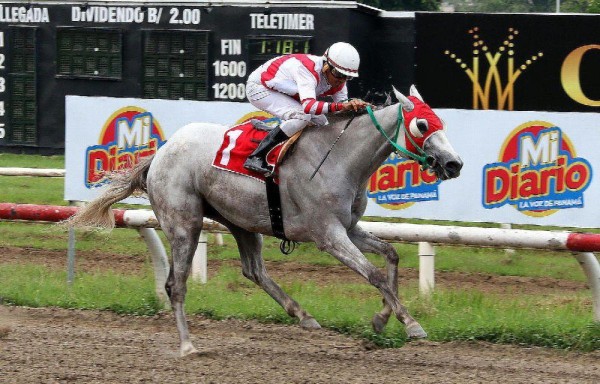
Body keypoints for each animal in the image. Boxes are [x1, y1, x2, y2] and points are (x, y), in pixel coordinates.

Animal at [70, 85, 464, 356]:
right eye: (422, 123)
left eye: (442, 121)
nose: (455, 163)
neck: (340, 159)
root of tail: (160, 153)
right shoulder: (328, 235)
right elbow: (375, 274)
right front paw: (411, 323)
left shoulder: (349, 228)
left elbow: (391, 256)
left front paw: (383, 319)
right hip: (184, 224)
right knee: (175, 285)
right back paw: (187, 345)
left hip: (241, 221)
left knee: (254, 270)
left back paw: (302, 314)